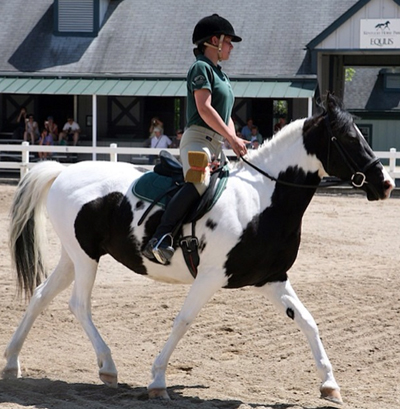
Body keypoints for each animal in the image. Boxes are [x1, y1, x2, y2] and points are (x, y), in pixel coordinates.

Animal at [1, 92, 394, 402]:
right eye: (347, 137)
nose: (386, 183)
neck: (261, 199)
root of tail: (63, 171)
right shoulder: (209, 277)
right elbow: (183, 321)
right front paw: (157, 381)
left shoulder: (272, 278)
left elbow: (308, 322)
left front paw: (330, 385)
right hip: (85, 258)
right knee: (79, 305)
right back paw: (108, 367)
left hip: (74, 256)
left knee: (40, 296)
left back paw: (12, 363)